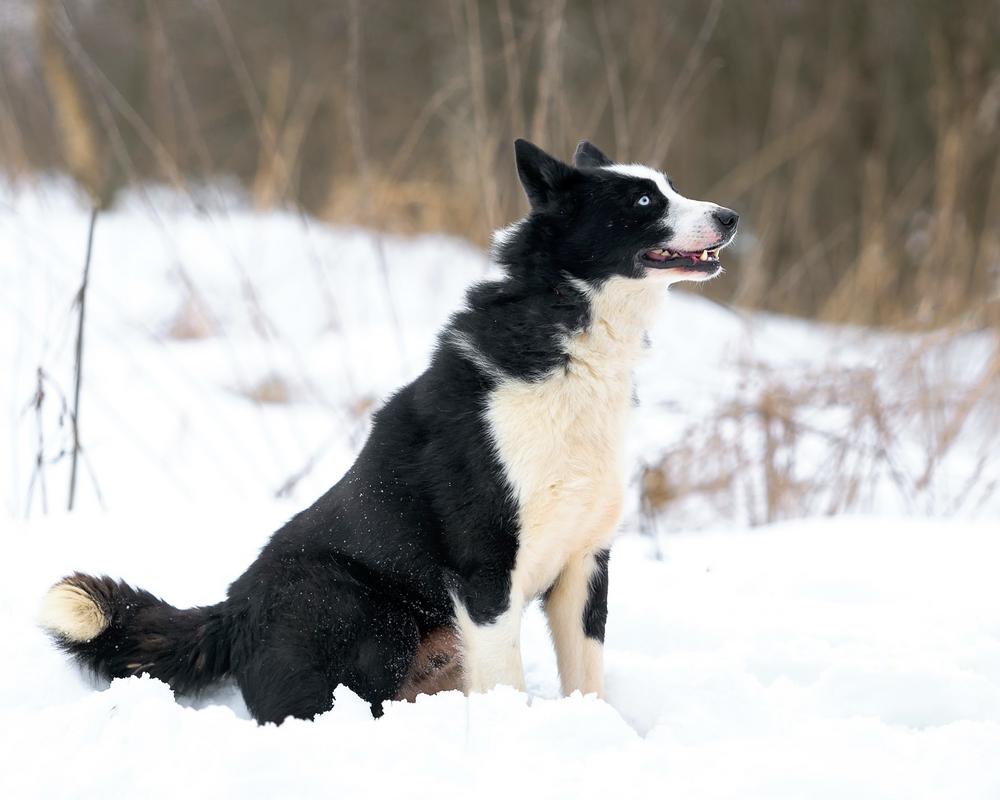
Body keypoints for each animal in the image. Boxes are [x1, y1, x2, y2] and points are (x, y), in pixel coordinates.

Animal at [39, 139, 740, 724]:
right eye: (643, 201)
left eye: (670, 186)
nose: (731, 216)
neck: (567, 333)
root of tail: (231, 610)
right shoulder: (486, 570)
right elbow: (507, 680)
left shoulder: (584, 565)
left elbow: (586, 678)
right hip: (359, 609)